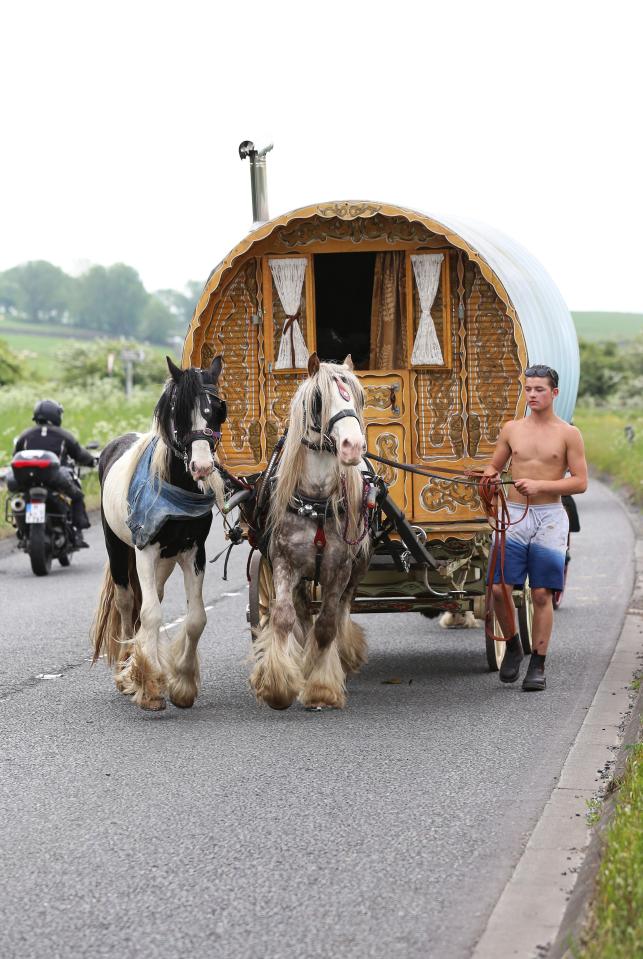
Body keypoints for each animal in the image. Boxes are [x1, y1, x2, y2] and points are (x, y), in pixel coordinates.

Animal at [91, 356, 226, 708]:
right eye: (179, 409)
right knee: (128, 602)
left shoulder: (194, 552)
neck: (174, 486)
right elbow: (150, 613)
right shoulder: (146, 550)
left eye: (218, 409)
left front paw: (182, 684)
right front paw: (148, 684)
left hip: (165, 560)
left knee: (154, 596)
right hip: (118, 548)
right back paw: (125, 669)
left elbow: (196, 619)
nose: (202, 467)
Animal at [252, 354, 372, 712]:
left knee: (341, 610)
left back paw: (342, 656)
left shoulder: (339, 568)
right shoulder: (283, 561)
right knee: (302, 613)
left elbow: (327, 624)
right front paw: (277, 685)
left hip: (357, 568)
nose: (352, 446)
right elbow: (283, 617)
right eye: (318, 400)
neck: (315, 501)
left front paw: (321, 687)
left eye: (360, 397)